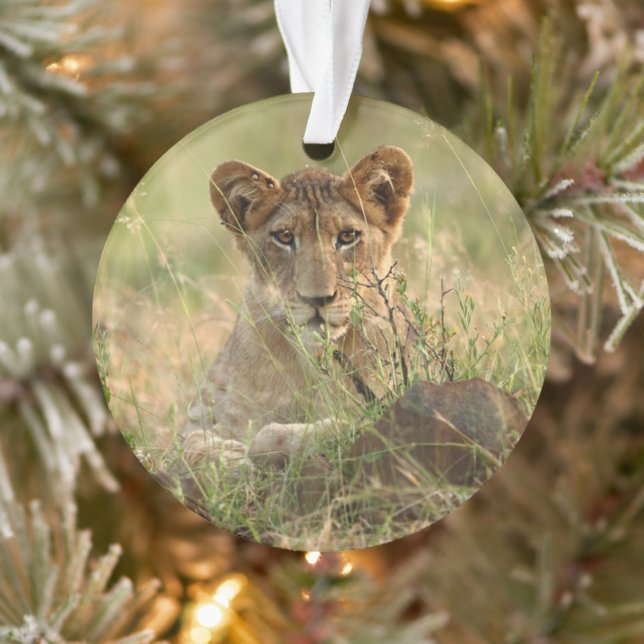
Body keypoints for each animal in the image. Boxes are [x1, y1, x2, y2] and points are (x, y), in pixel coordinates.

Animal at [181, 145, 416, 472]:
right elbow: (188, 444)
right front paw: (228, 459)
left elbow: (338, 426)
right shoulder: (219, 416)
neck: (312, 363)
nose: (317, 299)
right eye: (284, 237)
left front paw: (261, 447)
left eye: (347, 237)